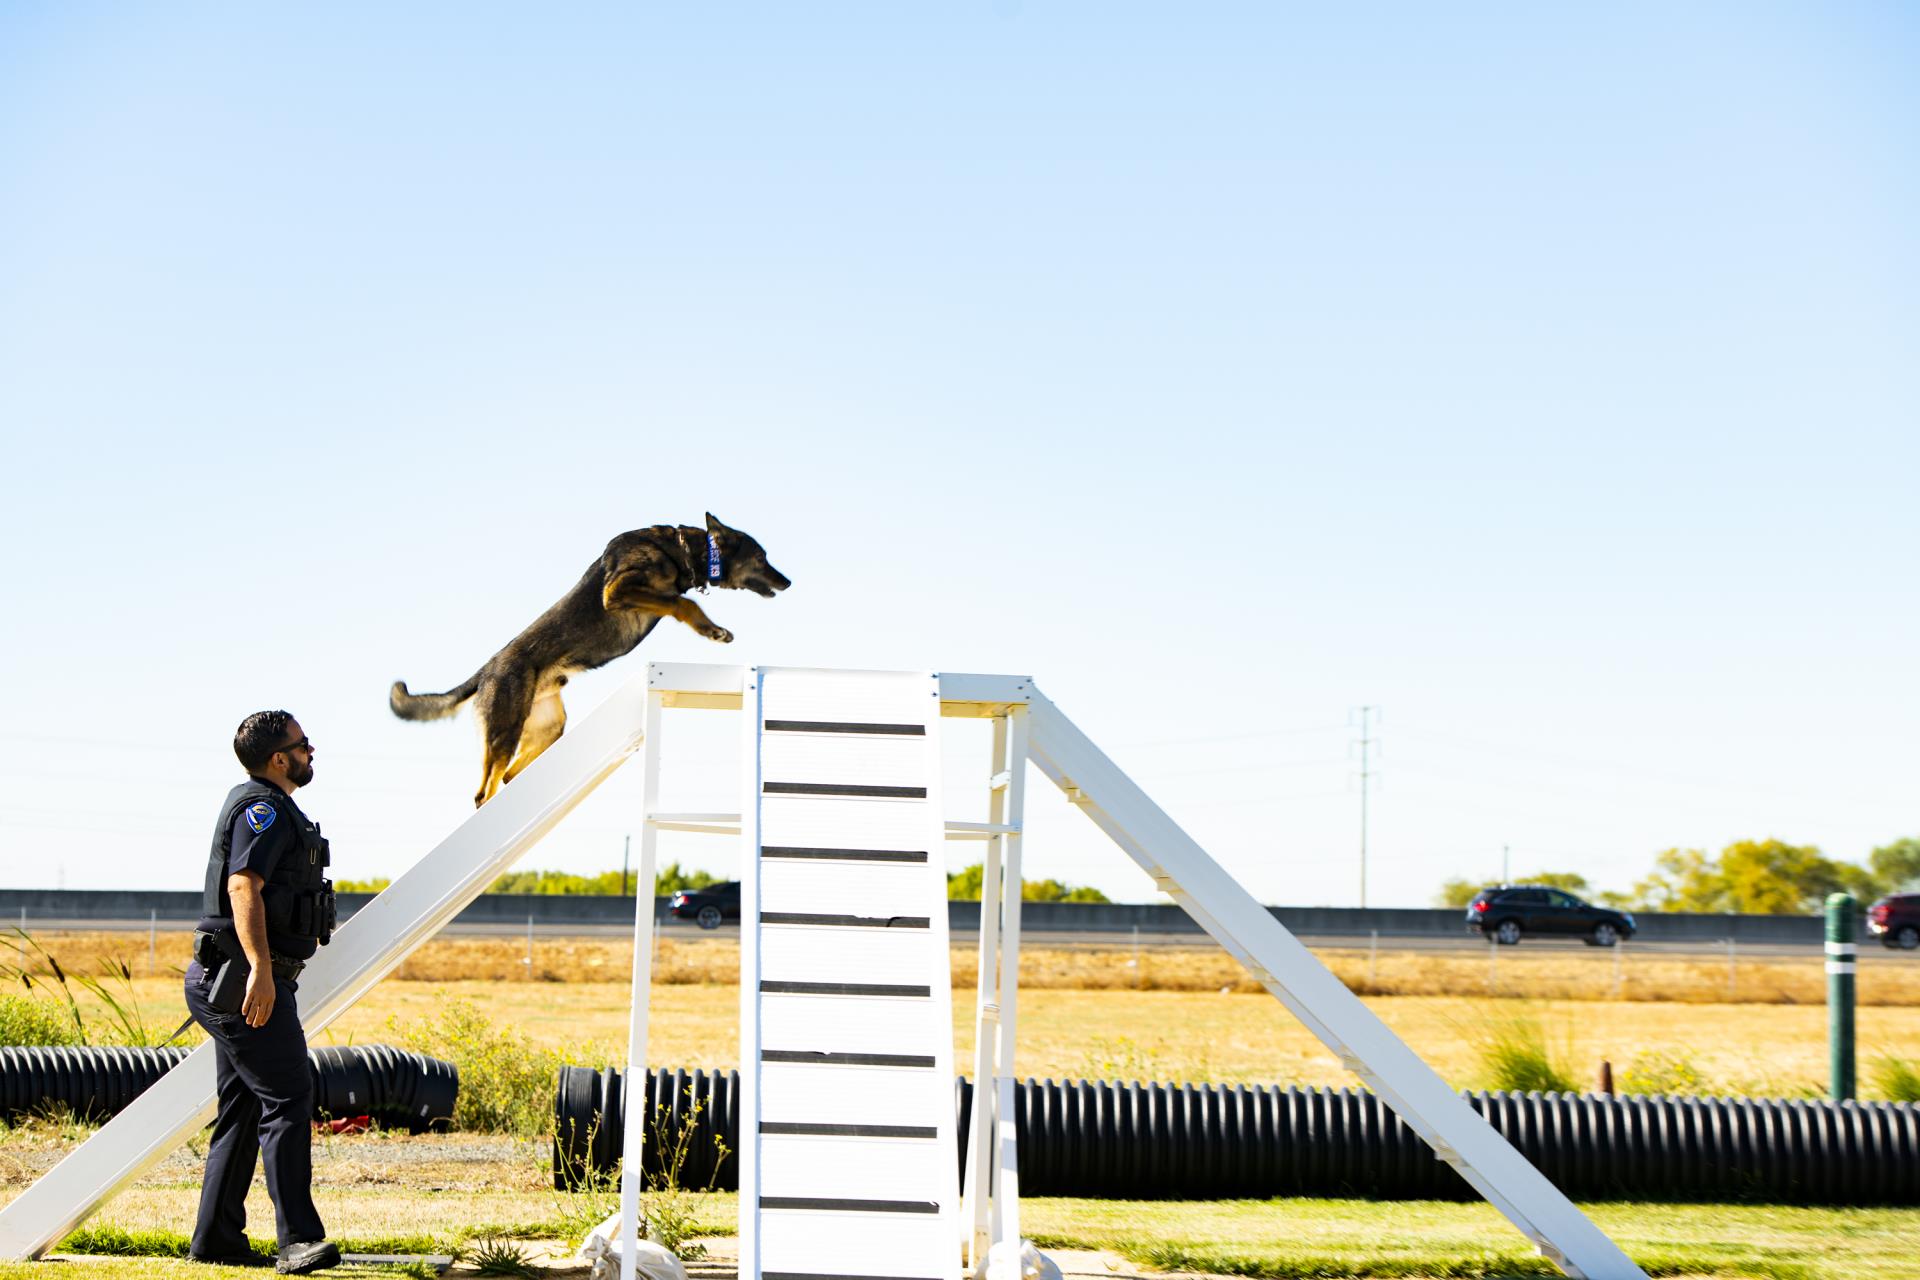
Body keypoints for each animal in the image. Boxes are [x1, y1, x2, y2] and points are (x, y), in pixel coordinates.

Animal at [389, 514, 787, 805]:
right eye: (762, 557)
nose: (788, 582)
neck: (685, 550)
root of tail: (485, 671)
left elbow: (680, 601)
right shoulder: (618, 592)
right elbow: (682, 601)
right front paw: (712, 630)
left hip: (550, 727)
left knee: (509, 776)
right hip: (505, 731)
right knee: (484, 790)